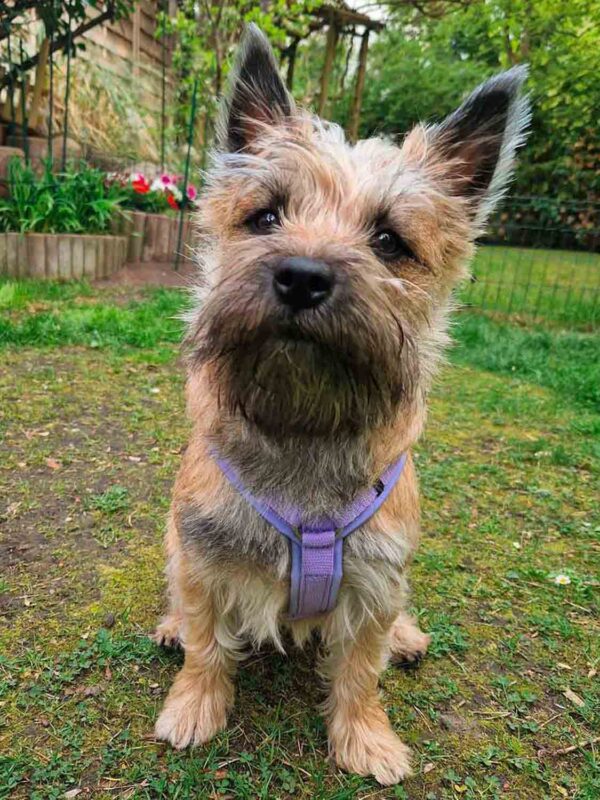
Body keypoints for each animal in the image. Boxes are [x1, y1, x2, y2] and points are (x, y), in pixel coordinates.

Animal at [152, 21, 528, 784]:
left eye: (389, 241)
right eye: (265, 216)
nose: (302, 276)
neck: (303, 426)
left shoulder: (376, 579)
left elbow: (360, 668)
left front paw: (366, 738)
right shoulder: (203, 556)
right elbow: (208, 639)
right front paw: (194, 706)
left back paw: (408, 637)